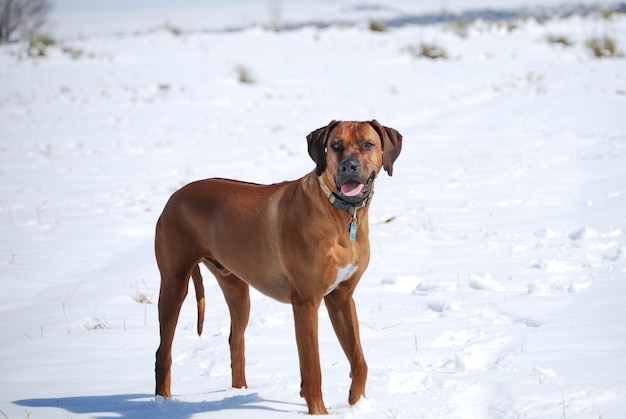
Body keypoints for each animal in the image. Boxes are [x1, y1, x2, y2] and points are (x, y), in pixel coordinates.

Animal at [154, 120, 402, 416]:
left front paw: (356, 405)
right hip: (174, 283)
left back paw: (238, 393)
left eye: (367, 144)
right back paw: (162, 403)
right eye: (335, 146)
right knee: (163, 352)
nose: (348, 167)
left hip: (237, 288)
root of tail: (174, 196)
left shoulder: (341, 298)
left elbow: (359, 360)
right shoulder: (306, 302)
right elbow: (313, 367)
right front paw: (319, 411)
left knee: (235, 341)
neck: (339, 212)